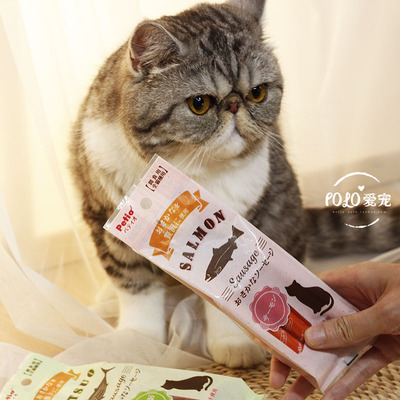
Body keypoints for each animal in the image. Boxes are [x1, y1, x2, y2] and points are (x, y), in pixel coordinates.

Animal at [70, 0, 399, 368]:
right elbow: (134, 286)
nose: (233, 104)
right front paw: (136, 342)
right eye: (199, 103)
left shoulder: (246, 219)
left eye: (257, 93)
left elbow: (226, 297)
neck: (193, 174)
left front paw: (234, 342)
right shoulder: (106, 217)